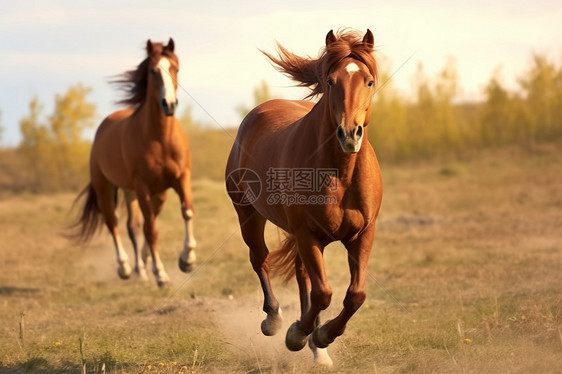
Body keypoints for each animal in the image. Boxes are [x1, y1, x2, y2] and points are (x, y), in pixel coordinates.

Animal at [71, 38, 197, 286]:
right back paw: (126, 267)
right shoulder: (143, 187)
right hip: (106, 189)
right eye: (153, 71)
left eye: (175, 68)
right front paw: (161, 274)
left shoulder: (180, 179)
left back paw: (141, 268)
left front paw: (187, 260)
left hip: (139, 193)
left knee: (135, 226)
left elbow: (184, 212)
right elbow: (151, 230)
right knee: (114, 223)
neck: (160, 138)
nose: (169, 104)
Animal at [225, 28, 382, 366]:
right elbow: (323, 293)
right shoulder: (308, 234)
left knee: (302, 278)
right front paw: (299, 335)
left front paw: (320, 339)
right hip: (248, 215)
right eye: (331, 81)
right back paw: (274, 321)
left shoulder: (363, 234)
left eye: (369, 81)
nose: (349, 134)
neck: (340, 172)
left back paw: (317, 350)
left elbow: (355, 295)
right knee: (261, 259)